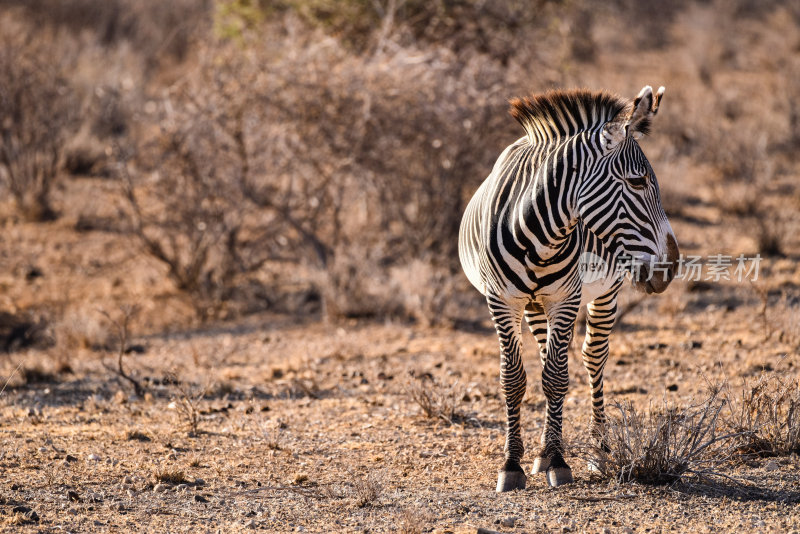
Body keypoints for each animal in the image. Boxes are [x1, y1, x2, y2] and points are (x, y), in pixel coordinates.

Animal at [460, 87, 680, 494]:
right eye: (638, 182)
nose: (669, 268)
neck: (536, 234)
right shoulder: (501, 300)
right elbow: (514, 379)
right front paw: (512, 464)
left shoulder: (567, 298)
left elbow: (557, 379)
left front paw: (559, 462)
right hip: (535, 305)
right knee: (547, 354)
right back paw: (542, 453)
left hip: (604, 293)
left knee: (592, 358)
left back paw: (597, 452)